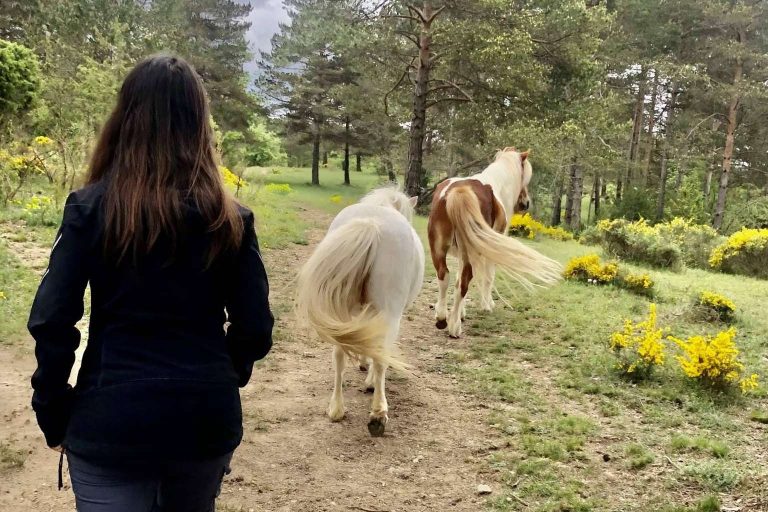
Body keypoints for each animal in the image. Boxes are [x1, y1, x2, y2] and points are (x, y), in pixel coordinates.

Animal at [295, 186, 425, 436]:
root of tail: (371, 223)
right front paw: (370, 379)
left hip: (340, 311)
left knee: (338, 354)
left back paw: (336, 409)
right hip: (390, 313)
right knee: (381, 357)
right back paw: (378, 415)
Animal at [427, 148, 562, 338]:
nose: (525, 203)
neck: (498, 183)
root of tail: (459, 192)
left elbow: (457, 278)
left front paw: (461, 313)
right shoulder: (492, 246)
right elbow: (489, 276)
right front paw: (487, 306)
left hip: (439, 249)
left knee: (444, 276)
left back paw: (441, 318)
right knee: (464, 283)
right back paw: (454, 328)